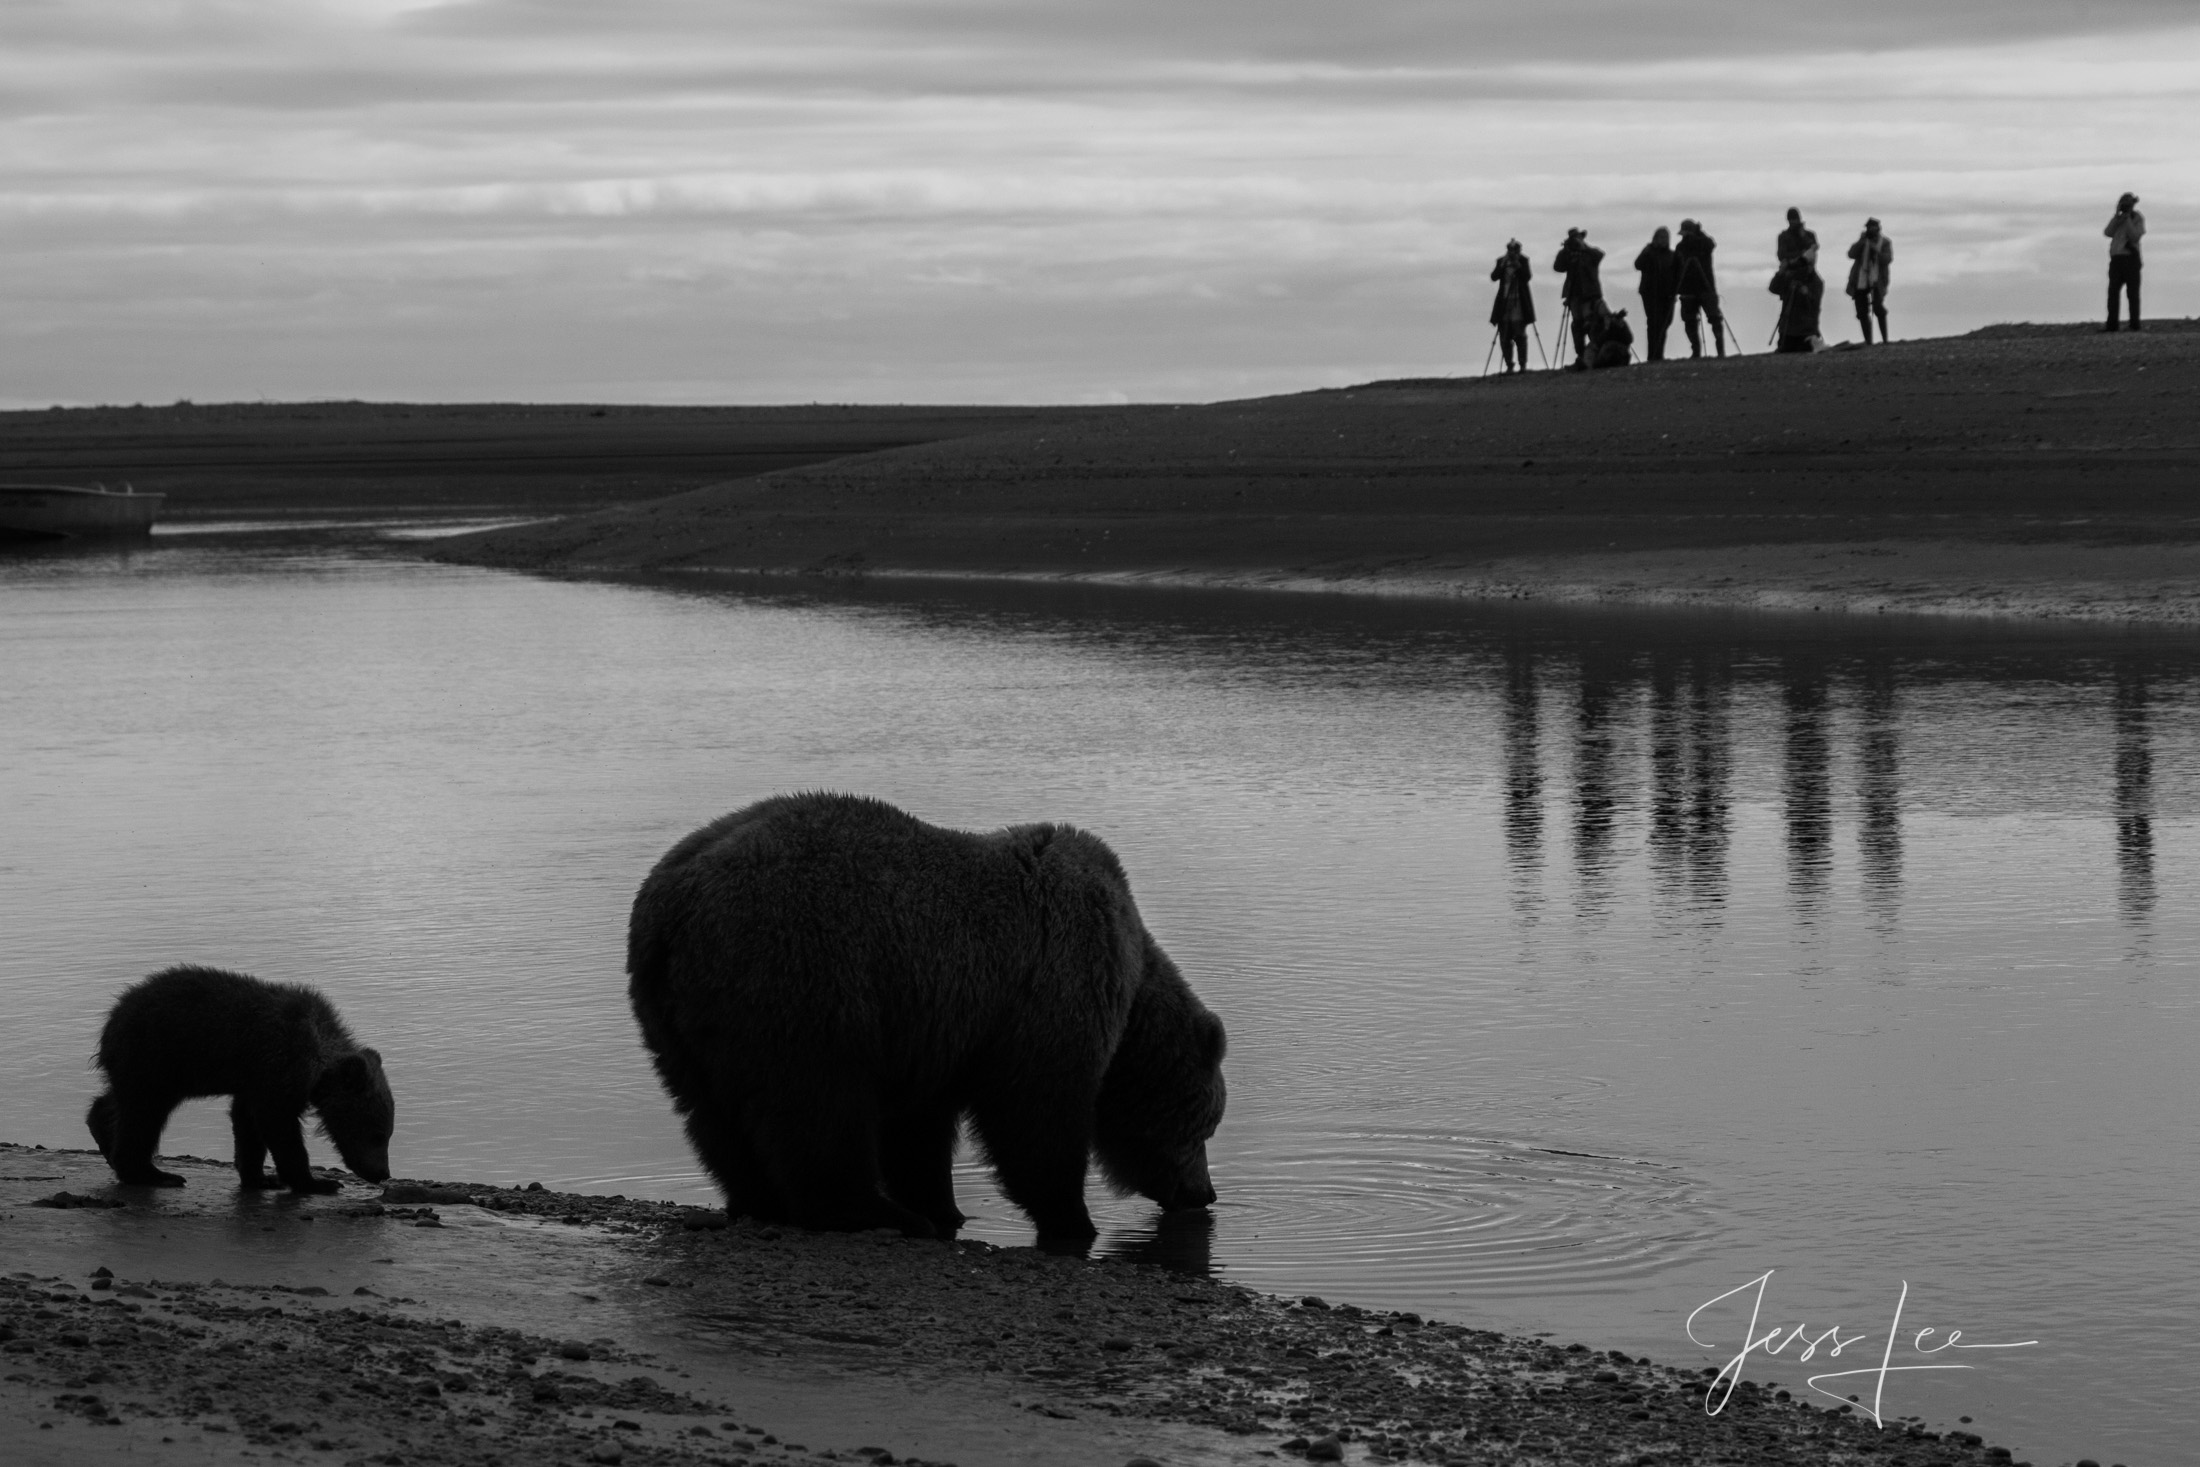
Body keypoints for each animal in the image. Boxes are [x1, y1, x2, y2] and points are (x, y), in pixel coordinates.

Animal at [85, 963, 398, 1196]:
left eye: (387, 1134)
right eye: (378, 1134)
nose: (382, 1173)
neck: (314, 1061)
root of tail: (112, 1017)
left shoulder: (255, 1078)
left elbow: (248, 1125)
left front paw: (260, 1178)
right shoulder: (276, 1066)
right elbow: (279, 1127)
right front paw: (317, 1182)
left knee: (119, 1102)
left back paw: (103, 1133)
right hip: (156, 1056)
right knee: (143, 1116)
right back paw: (154, 1174)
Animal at [629, 791, 1232, 1240]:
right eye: (1205, 1126)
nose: (1204, 1193)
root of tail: (672, 900)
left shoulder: (935, 1026)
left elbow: (919, 1129)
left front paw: (945, 1206)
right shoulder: (1051, 985)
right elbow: (1036, 1112)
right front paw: (1071, 1218)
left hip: (684, 1013)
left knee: (712, 1114)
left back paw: (761, 1199)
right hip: (802, 968)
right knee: (816, 1103)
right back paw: (872, 1211)